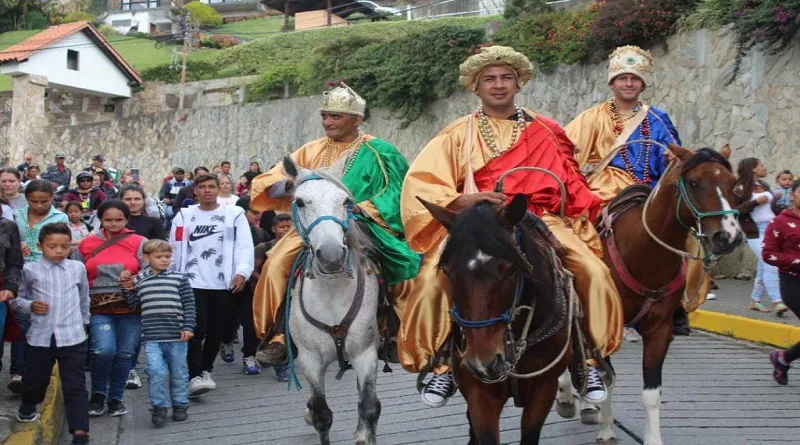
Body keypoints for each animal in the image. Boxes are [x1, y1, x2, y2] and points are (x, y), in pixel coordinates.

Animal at [282, 155, 382, 444]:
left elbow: (369, 407)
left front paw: (365, 434)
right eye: (300, 202)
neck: (331, 297)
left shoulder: (365, 354)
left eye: (346, 201)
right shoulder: (310, 360)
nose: (331, 255)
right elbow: (321, 415)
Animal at [588, 144, 744, 442]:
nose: (728, 237)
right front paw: (606, 427)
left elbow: (651, 394)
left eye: (734, 184)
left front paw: (653, 438)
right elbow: (607, 376)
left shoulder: (660, 330)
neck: (643, 254)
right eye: (693, 182)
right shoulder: (605, 325)